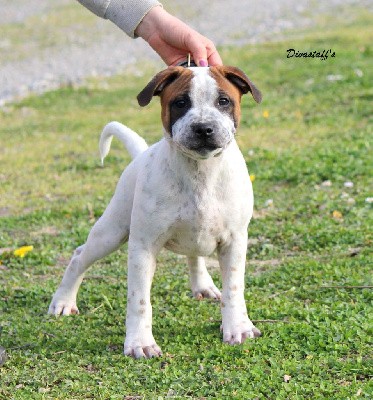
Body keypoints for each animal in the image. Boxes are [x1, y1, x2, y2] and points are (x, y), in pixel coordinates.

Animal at [48, 65, 262, 360]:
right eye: (180, 103)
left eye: (224, 101)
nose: (203, 128)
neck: (200, 172)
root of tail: (140, 155)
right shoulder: (143, 247)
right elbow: (139, 300)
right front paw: (140, 342)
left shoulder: (235, 241)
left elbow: (234, 288)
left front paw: (237, 327)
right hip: (110, 233)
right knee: (80, 256)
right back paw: (63, 300)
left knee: (194, 256)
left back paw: (203, 285)